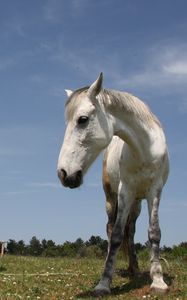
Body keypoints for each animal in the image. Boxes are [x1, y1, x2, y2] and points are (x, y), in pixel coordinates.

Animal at [57, 72, 169, 296]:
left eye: (82, 120)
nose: (64, 173)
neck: (144, 149)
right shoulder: (124, 191)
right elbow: (116, 235)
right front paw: (104, 283)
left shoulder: (155, 191)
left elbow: (154, 232)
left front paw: (158, 280)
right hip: (112, 198)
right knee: (111, 230)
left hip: (137, 202)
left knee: (131, 231)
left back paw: (135, 269)